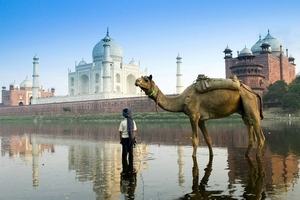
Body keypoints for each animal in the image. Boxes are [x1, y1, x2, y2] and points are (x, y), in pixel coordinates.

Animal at [136, 74, 264, 157]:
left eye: (146, 79)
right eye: (141, 78)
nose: (136, 81)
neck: (182, 99)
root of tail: (252, 91)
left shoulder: (193, 116)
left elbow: (195, 140)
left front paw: (193, 157)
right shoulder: (201, 119)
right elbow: (208, 139)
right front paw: (212, 155)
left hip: (249, 101)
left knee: (260, 134)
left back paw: (258, 156)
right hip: (244, 110)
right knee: (250, 130)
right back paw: (246, 155)